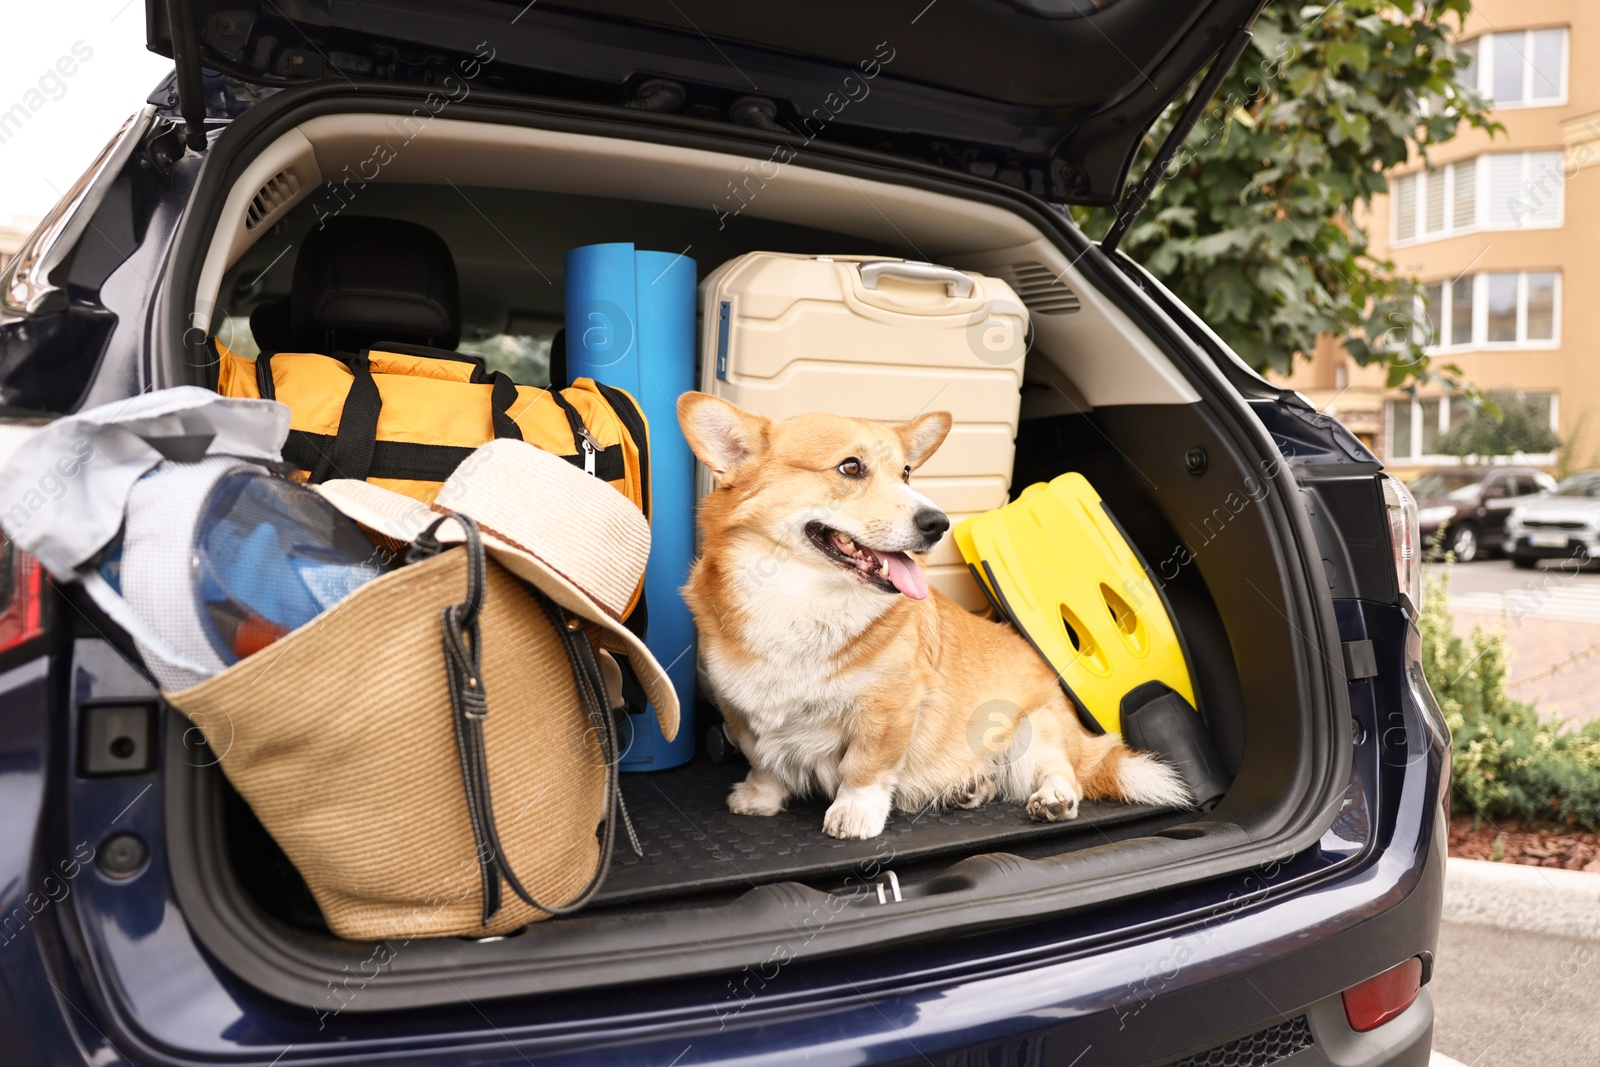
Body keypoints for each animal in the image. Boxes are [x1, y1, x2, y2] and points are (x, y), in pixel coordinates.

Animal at [675, 395, 1190, 844]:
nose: (937, 523)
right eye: (850, 467)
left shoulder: (889, 708)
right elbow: (763, 759)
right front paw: (759, 798)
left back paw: (1053, 799)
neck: (801, 601)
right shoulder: (739, 706)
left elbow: (864, 768)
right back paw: (970, 788)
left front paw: (853, 815)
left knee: (1064, 770)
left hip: (1035, 727)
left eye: (906, 472)